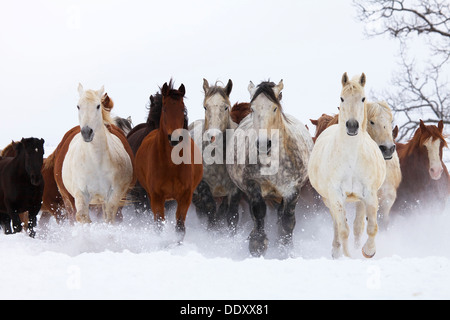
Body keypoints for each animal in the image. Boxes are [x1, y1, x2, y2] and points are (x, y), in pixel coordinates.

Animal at [52, 85, 134, 224]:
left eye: (97, 106)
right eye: (78, 106)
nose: (86, 132)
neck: (96, 161)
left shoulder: (114, 195)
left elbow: (109, 218)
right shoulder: (80, 194)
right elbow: (83, 217)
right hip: (68, 199)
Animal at [134, 80, 203, 242]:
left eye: (182, 109)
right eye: (165, 109)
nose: (175, 139)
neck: (171, 166)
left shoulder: (185, 197)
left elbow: (179, 228)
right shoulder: (156, 197)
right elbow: (159, 226)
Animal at [189, 79, 244, 231]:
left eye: (225, 107)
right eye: (205, 107)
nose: (213, 137)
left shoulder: (234, 190)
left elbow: (232, 216)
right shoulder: (203, 187)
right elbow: (211, 212)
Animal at [227, 80, 314, 258]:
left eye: (274, 108)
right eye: (253, 108)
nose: (263, 143)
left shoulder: (292, 190)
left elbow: (287, 221)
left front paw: (284, 248)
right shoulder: (252, 186)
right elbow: (259, 213)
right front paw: (257, 245)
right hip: (235, 188)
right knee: (232, 214)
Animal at [310, 72, 386, 258]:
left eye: (363, 98)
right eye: (342, 98)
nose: (352, 126)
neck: (351, 158)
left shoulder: (370, 194)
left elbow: (372, 227)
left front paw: (368, 251)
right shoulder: (336, 195)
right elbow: (343, 229)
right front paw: (347, 255)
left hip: (358, 200)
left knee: (358, 224)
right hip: (329, 200)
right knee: (338, 225)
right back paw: (336, 250)